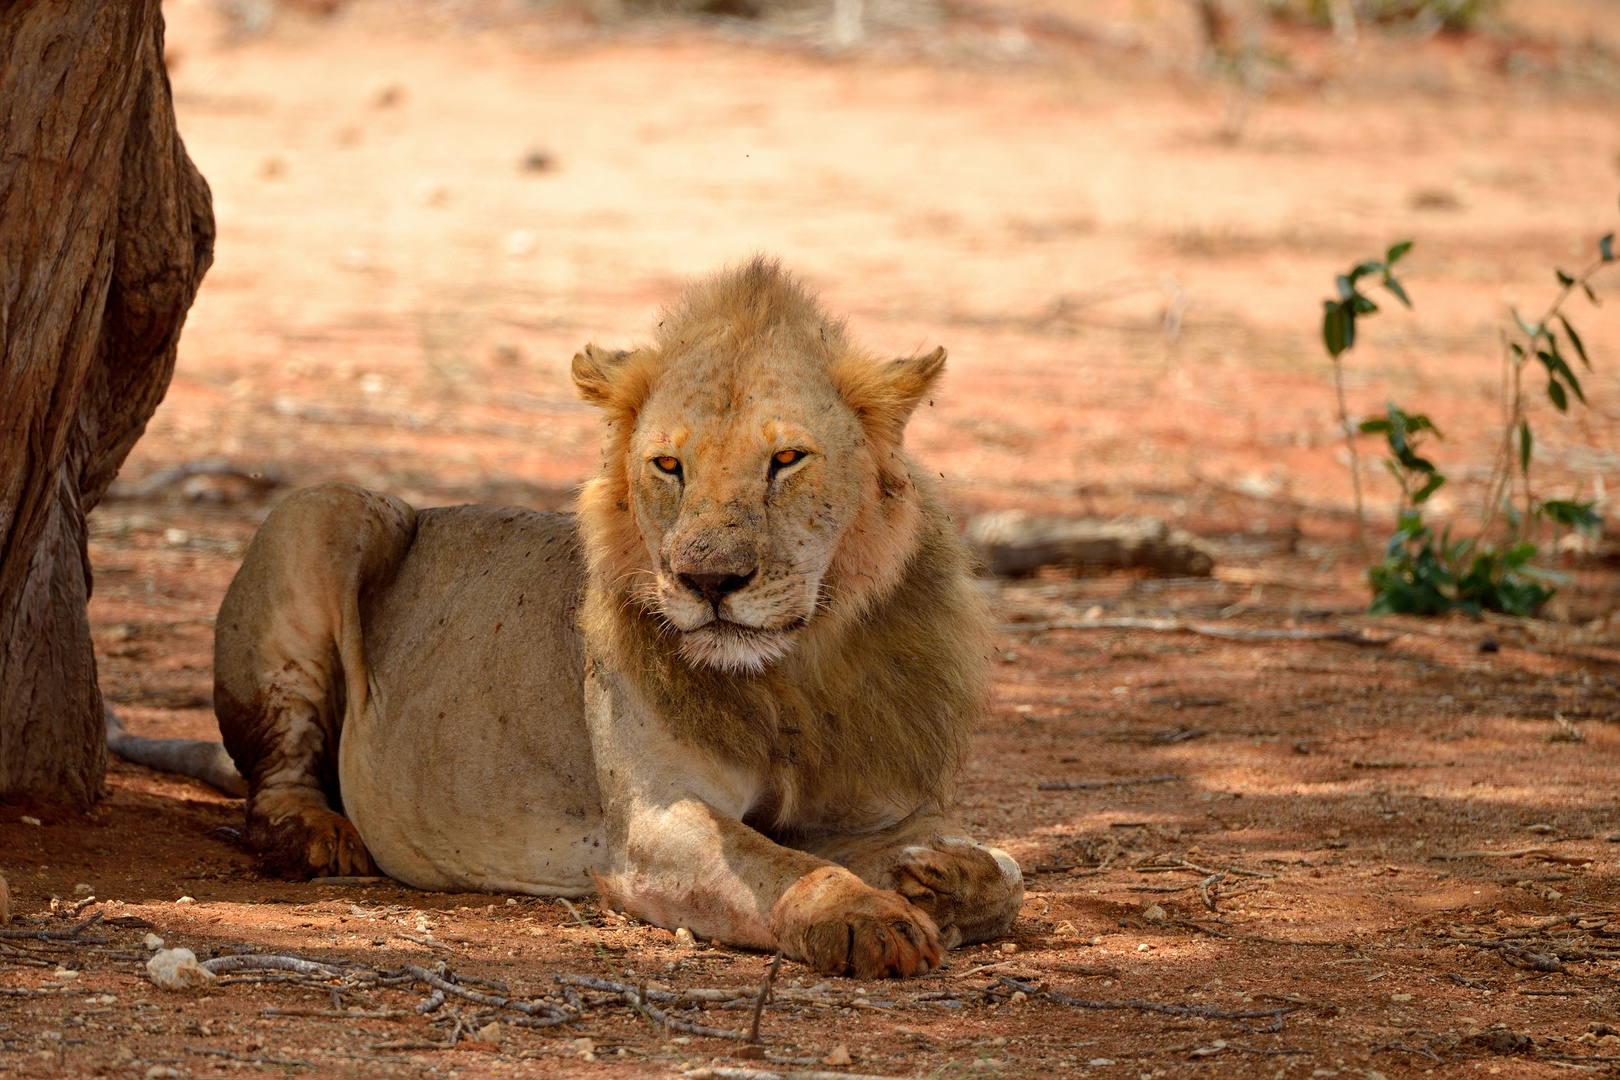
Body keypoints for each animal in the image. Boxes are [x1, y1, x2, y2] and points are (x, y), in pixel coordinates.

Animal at [199, 257, 1023, 977]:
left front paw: (937, 875)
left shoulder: (878, 805)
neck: (795, 673)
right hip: (325, 511)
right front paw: (867, 918)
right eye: (669, 466)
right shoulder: (654, 826)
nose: (708, 579)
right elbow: (783, 865)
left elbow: (1007, 874)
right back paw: (314, 838)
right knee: (277, 768)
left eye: (788, 459)